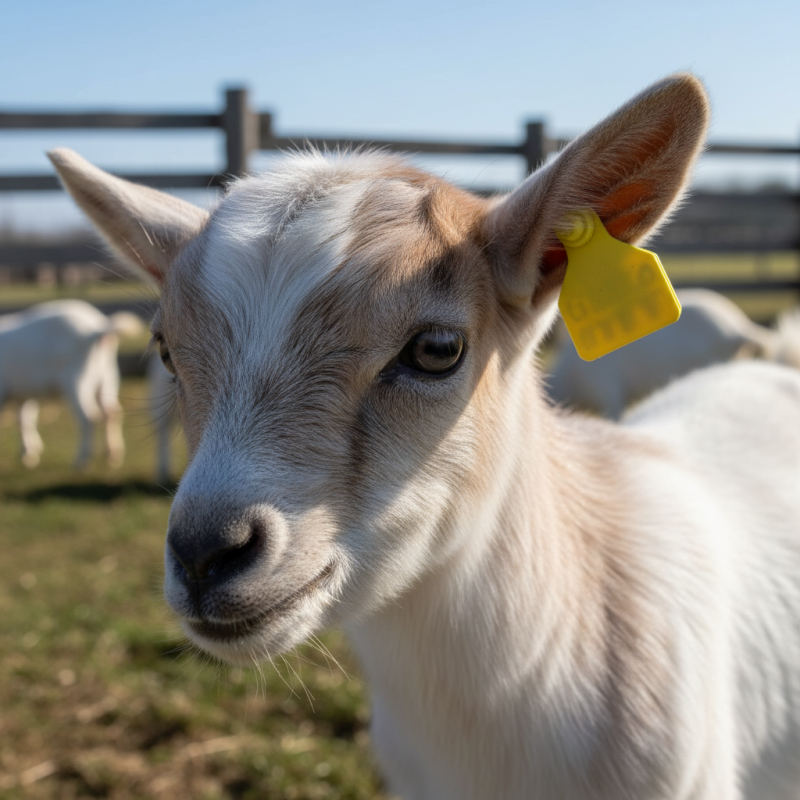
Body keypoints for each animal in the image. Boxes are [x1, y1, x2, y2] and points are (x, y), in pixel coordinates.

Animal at [0, 299, 140, 468]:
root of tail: (98, 330)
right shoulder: (25, 393)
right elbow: (24, 419)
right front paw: (29, 454)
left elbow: (23, 419)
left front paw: (29, 453)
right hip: (108, 375)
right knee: (111, 411)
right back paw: (112, 456)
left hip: (77, 379)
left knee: (87, 417)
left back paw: (82, 460)